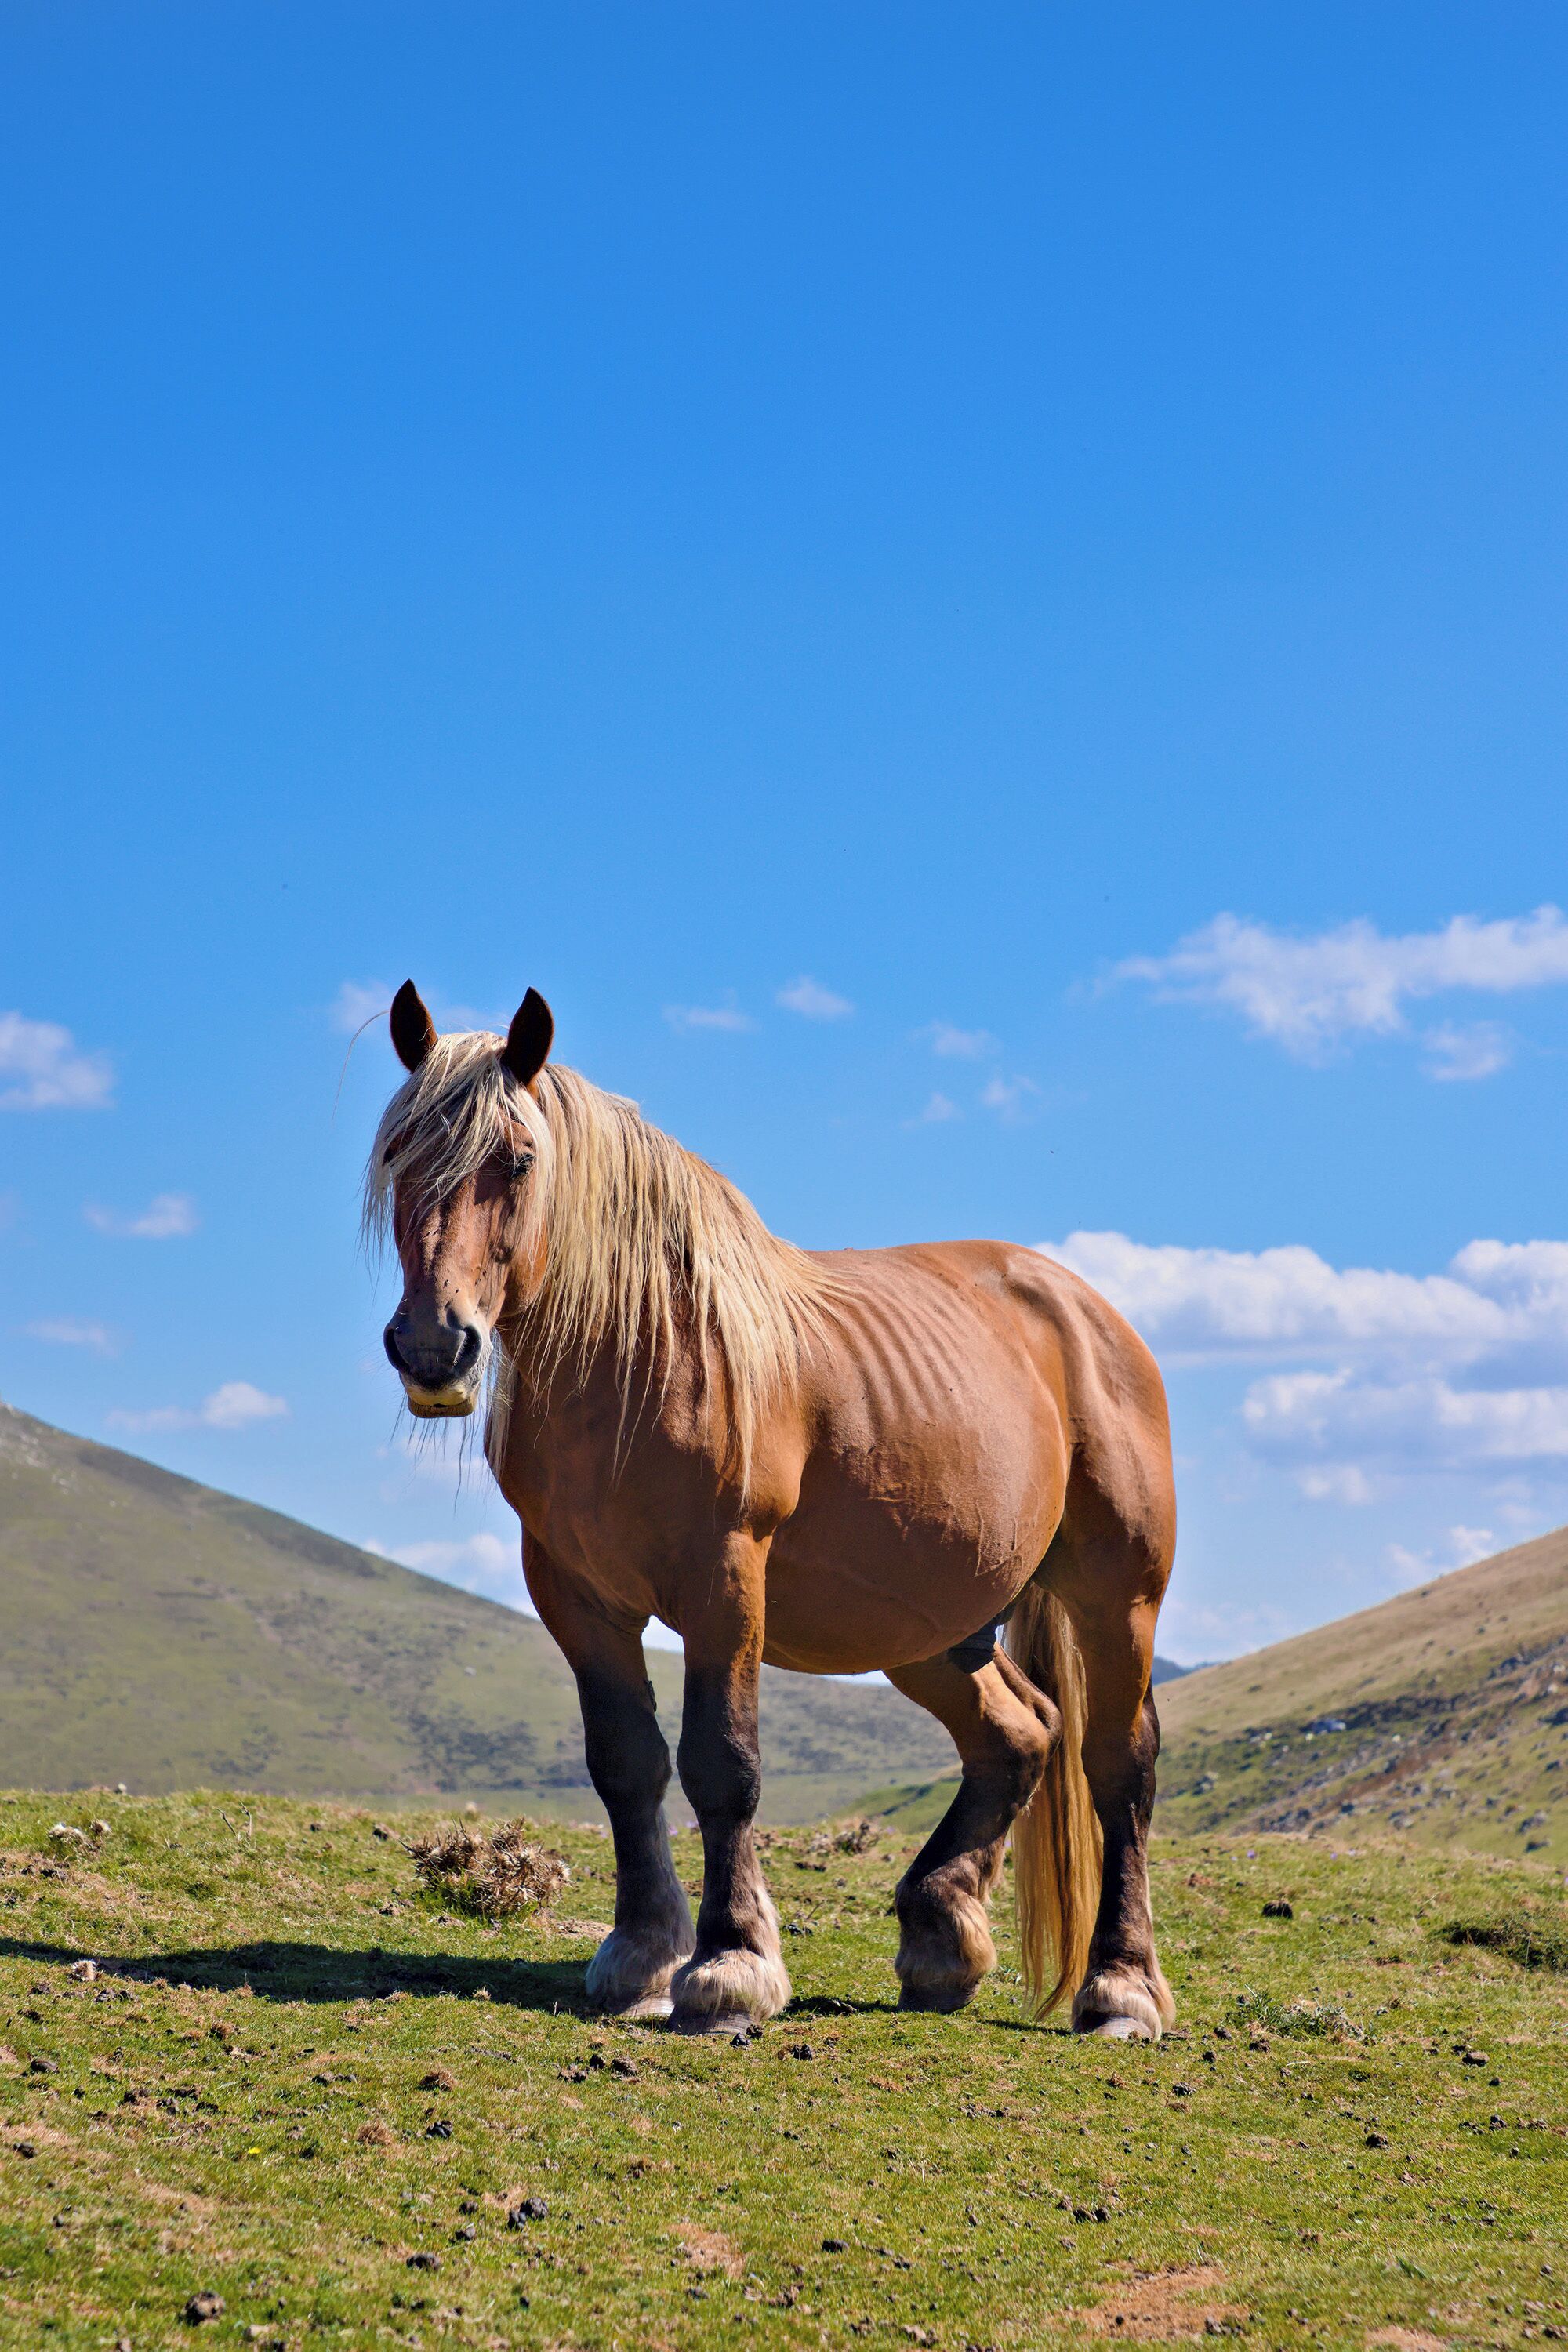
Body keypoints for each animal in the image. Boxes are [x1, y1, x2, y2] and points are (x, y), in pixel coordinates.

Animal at [367, 982, 1177, 2041]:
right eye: (396, 1155)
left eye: (517, 1160)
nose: (434, 1346)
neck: (632, 1357)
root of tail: (1086, 1309)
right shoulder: (577, 1596)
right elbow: (625, 1762)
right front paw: (639, 1959)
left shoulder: (724, 1582)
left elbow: (723, 1763)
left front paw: (727, 1965)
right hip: (926, 1628)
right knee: (1017, 1735)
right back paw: (940, 1939)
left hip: (1115, 1598)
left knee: (1116, 1765)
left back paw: (1120, 1988)